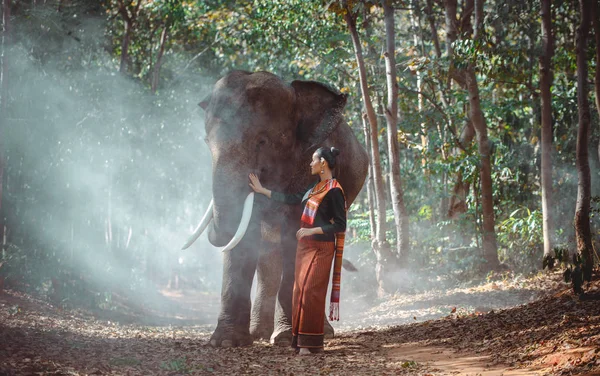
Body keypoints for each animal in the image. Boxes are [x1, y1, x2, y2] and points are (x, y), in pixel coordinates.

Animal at [183, 70, 368, 346]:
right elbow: (246, 239)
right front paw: (225, 342)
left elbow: (295, 236)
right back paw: (260, 333)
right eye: (207, 142)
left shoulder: (305, 169)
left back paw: (318, 332)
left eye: (262, 141)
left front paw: (284, 338)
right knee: (269, 256)